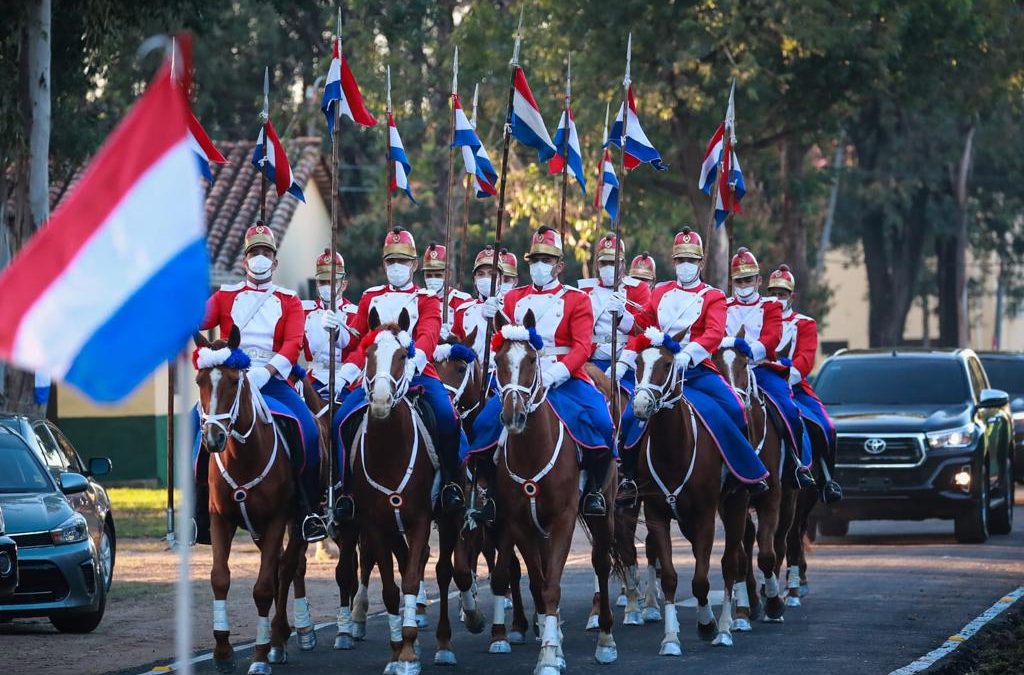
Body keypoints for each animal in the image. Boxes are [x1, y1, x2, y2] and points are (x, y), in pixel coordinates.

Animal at [194, 325, 313, 671]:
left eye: (235, 381)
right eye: (200, 381)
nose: (214, 438)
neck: (243, 457)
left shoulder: (276, 520)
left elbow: (263, 588)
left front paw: (260, 655)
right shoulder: (220, 519)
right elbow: (220, 578)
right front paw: (222, 651)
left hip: (298, 520)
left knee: (288, 567)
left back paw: (283, 637)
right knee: (281, 568)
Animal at [489, 309, 622, 671]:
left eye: (532, 359)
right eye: (498, 359)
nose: (513, 416)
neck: (533, 451)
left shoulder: (563, 518)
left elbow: (552, 587)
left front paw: (549, 655)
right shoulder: (520, 523)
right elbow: (539, 581)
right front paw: (553, 646)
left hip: (604, 508)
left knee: (601, 562)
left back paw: (606, 638)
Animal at [626, 331, 749, 655]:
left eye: (668, 364)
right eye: (638, 362)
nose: (640, 406)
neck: (674, 449)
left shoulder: (705, 515)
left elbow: (702, 580)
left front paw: (708, 625)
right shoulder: (656, 515)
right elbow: (671, 577)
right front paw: (671, 638)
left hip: (736, 505)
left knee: (729, 564)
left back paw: (726, 628)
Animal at [712, 344, 798, 635]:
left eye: (743, 364)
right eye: (714, 364)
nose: (733, 401)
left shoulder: (772, 498)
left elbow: (768, 554)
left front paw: (773, 603)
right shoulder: (727, 503)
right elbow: (740, 555)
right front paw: (744, 609)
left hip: (789, 500)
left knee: (779, 542)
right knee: (748, 541)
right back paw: (750, 599)